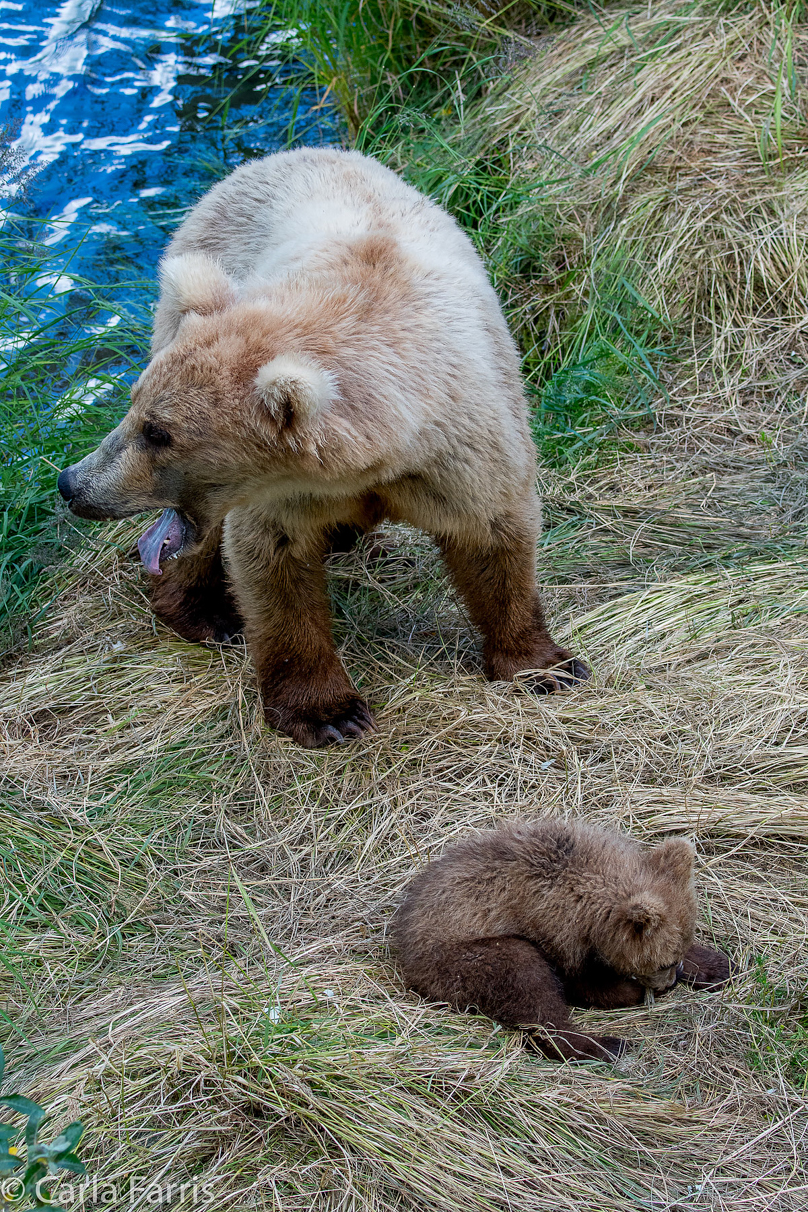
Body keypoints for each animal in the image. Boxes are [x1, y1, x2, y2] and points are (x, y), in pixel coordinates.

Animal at [58, 151, 588, 746]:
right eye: (135, 407)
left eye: (157, 432)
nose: (72, 483)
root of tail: (268, 158)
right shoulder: (287, 494)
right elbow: (276, 564)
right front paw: (330, 714)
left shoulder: (466, 445)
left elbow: (495, 536)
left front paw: (545, 665)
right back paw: (203, 612)